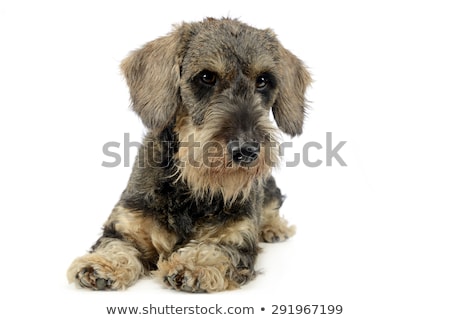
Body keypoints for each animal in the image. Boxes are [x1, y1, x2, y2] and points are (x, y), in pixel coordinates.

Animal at [67, 17, 312, 292]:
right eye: (206, 77)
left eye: (263, 80)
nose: (246, 150)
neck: (192, 188)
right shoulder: (126, 224)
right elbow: (116, 243)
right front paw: (102, 264)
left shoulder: (236, 237)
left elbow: (215, 249)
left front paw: (195, 264)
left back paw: (274, 227)